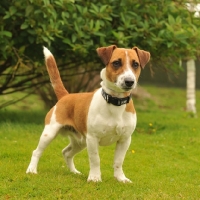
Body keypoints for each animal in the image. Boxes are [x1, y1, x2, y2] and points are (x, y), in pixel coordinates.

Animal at [26, 45, 150, 183]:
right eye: (116, 63)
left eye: (135, 64)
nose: (129, 81)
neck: (115, 103)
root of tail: (66, 96)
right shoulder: (92, 138)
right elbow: (95, 159)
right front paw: (95, 178)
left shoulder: (124, 139)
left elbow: (118, 161)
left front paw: (120, 178)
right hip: (49, 133)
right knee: (36, 152)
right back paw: (32, 170)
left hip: (80, 142)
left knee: (66, 153)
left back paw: (74, 172)